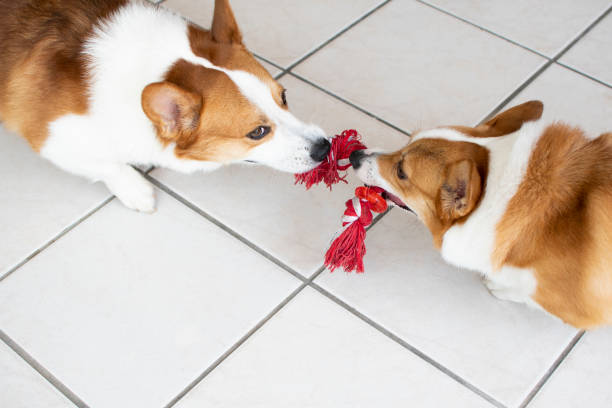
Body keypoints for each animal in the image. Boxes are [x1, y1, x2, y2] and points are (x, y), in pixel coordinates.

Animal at [0, 0, 330, 214]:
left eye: (283, 97)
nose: (325, 148)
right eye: (258, 131)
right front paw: (136, 191)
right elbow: (106, 164)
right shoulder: (50, 137)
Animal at [350, 101, 612, 328]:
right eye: (408, 140)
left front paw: (498, 286)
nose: (354, 156)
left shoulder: (574, 306)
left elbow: (526, 293)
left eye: (401, 172)